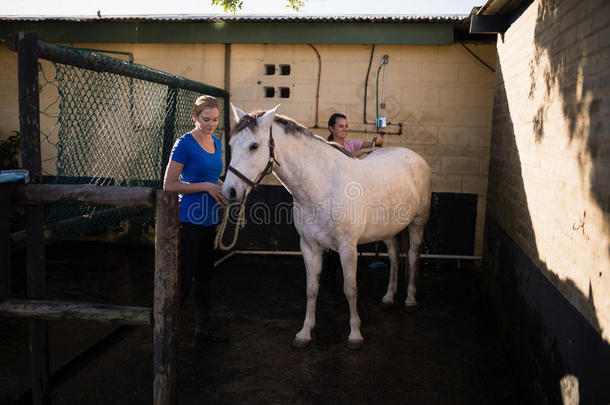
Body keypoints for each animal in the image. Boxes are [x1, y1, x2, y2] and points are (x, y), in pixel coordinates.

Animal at [221, 105, 430, 348]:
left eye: (254, 146)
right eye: (231, 144)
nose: (230, 192)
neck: (323, 185)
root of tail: (415, 157)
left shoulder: (348, 249)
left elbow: (350, 289)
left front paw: (355, 334)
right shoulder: (309, 247)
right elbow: (311, 289)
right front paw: (305, 333)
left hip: (417, 224)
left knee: (413, 256)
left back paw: (410, 299)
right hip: (388, 229)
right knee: (395, 256)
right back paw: (388, 297)